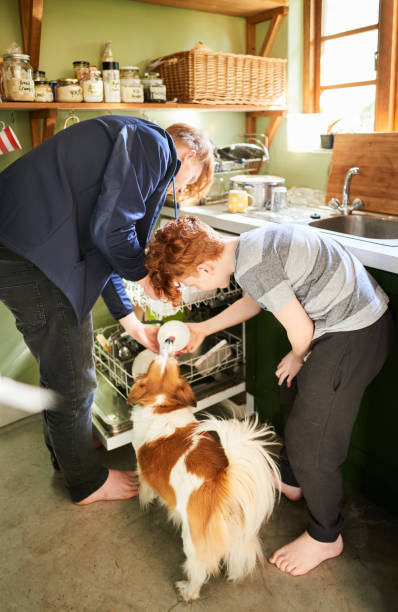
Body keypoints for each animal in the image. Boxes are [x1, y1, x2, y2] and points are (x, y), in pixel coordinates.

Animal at [127, 356, 280, 600]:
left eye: (151, 363)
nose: (165, 351)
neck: (163, 405)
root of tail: (221, 479)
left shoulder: (142, 467)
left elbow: (145, 488)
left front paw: (144, 500)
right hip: (239, 533)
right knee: (239, 556)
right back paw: (233, 574)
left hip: (192, 539)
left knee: (200, 567)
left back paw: (189, 590)